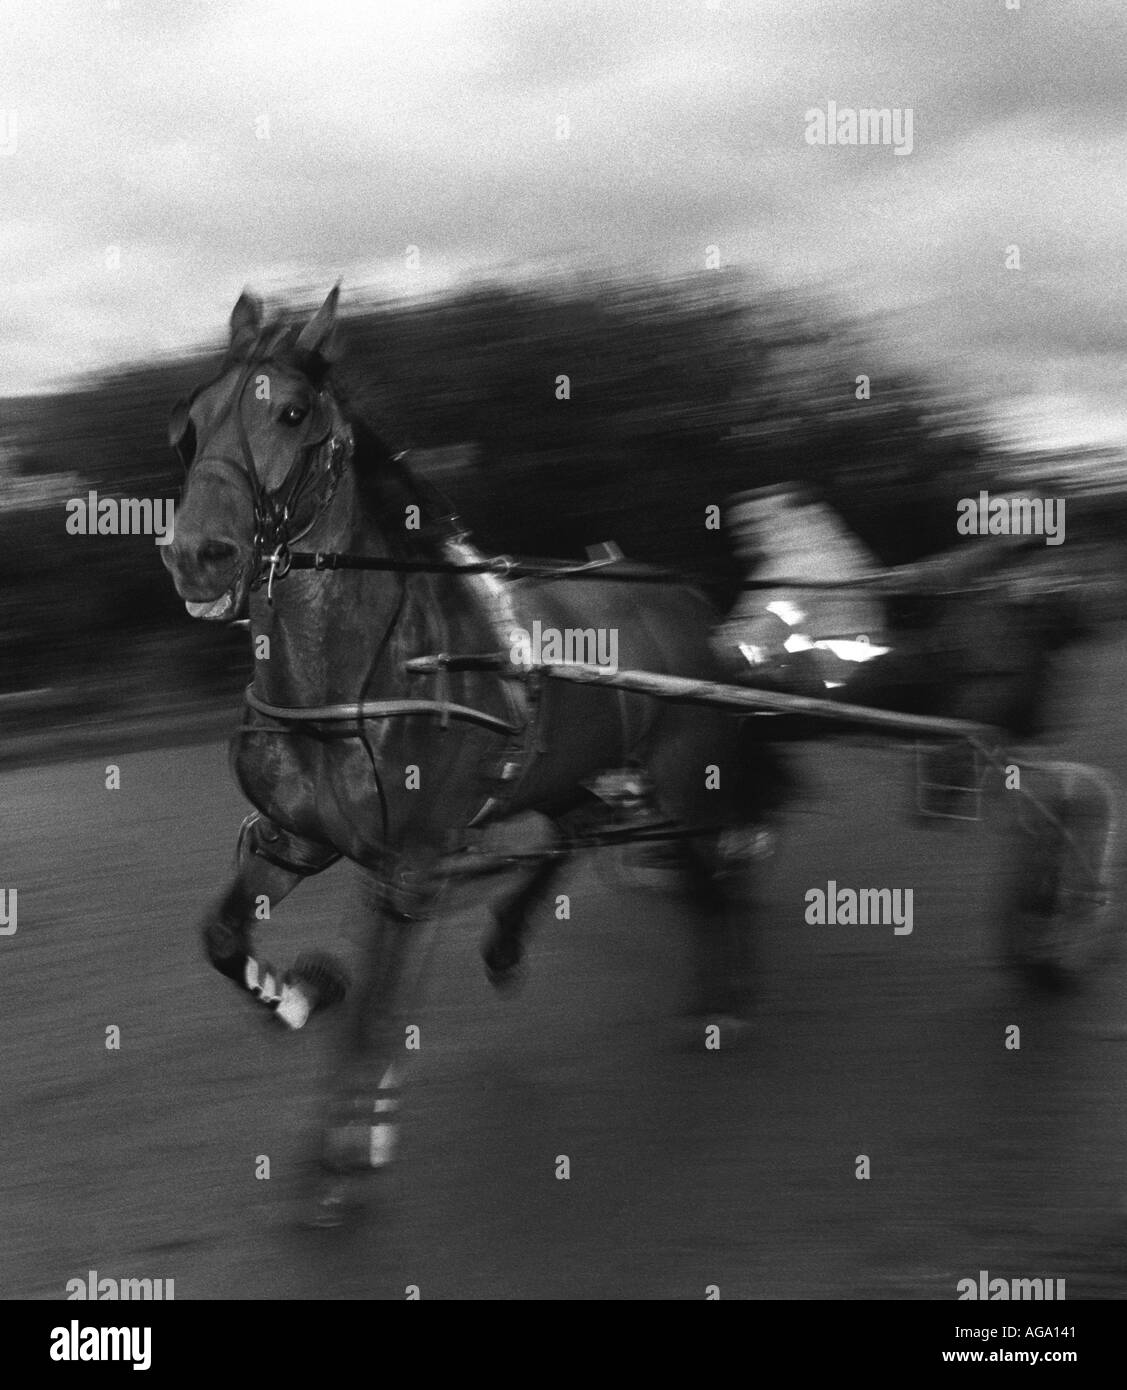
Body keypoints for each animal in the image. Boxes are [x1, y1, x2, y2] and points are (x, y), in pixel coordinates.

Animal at [161, 287, 767, 1223]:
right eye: (188, 425)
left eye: (292, 412)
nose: (197, 556)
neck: (354, 680)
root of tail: (682, 593)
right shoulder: (294, 840)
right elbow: (223, 936)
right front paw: (296, 992)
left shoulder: (409, 864)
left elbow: (376, 1011)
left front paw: (344, 1152)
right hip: (567, 772)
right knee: (570, 838)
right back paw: (511, 939)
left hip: (685, 775)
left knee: (711, 866)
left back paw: (725, 998)